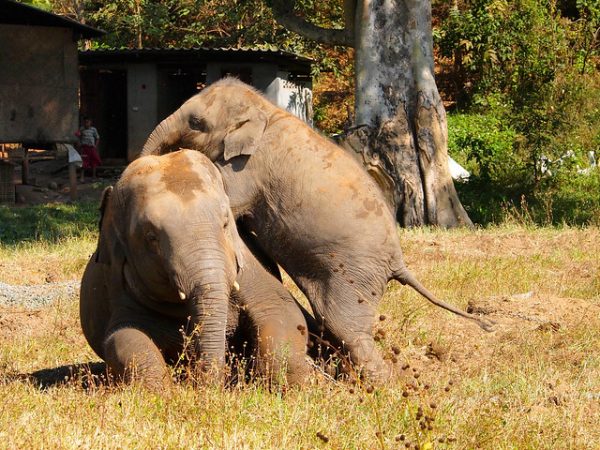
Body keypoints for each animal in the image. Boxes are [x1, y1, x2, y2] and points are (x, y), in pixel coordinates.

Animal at [79, 149, 312, 388]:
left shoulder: (249, 266)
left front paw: (296, 383)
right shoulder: (120, 288)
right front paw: (159, 390)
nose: (208, 382)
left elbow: (281, 310)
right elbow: (123, 338)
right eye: (151, 238)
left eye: (225, 223)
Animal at [141, 77, 492, 384]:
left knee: (348, 330)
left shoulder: (247, 170)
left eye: (196, 122)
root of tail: (398, 262)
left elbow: (231, 198)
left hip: (354, 276)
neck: (264, 109)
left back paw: (376, 387)